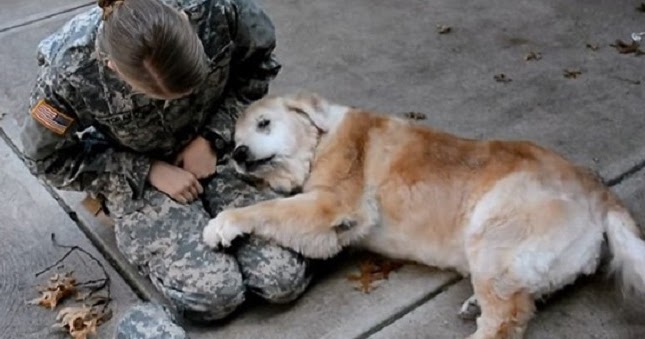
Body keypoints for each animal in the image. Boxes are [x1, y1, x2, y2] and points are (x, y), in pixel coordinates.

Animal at [203, 92, 644, 339]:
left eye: (265, 123)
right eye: (234, 138)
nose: (238, 154)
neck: (320, 140)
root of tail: (600, 191)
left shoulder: (332, 206)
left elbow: (266, 208)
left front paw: (223, 223)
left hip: (491, 230)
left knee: (507, 321)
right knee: (523, 299)